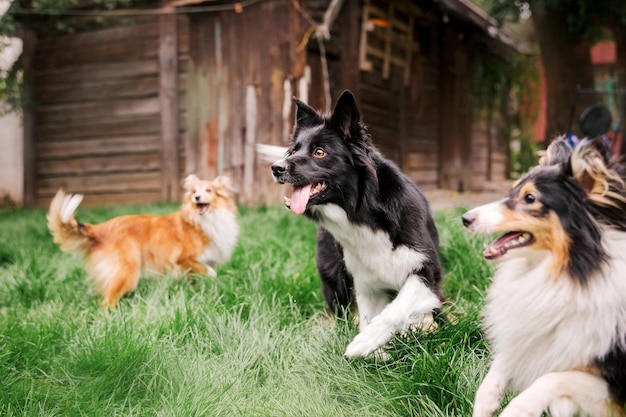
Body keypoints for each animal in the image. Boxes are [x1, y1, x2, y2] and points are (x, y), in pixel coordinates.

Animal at [47, 174, 239, 308]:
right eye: (194, 192)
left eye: (208, 190)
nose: (197, 198)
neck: (201, 221)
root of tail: (100, 228)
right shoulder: (182, 258)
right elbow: (208, 271)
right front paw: (212, 276)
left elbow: (195, 280)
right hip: (126, 272)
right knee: (107, 301)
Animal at [266, 89, 438, 356]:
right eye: (294, 150)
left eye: (319, 152)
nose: (276, 168)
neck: (364, 212)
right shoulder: (365, 282)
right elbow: (369, 315)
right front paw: (375, 352)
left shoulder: (426, 269)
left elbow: (398, 308)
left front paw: (366, 342)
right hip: (334, 276)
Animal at [460, 137, 624, 416]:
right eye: (511, 191)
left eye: (530, 197)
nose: (465, 219)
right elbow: (508, 357)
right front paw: (484, 403)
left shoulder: (611, 385)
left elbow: (552, 378)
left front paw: (516, 410)